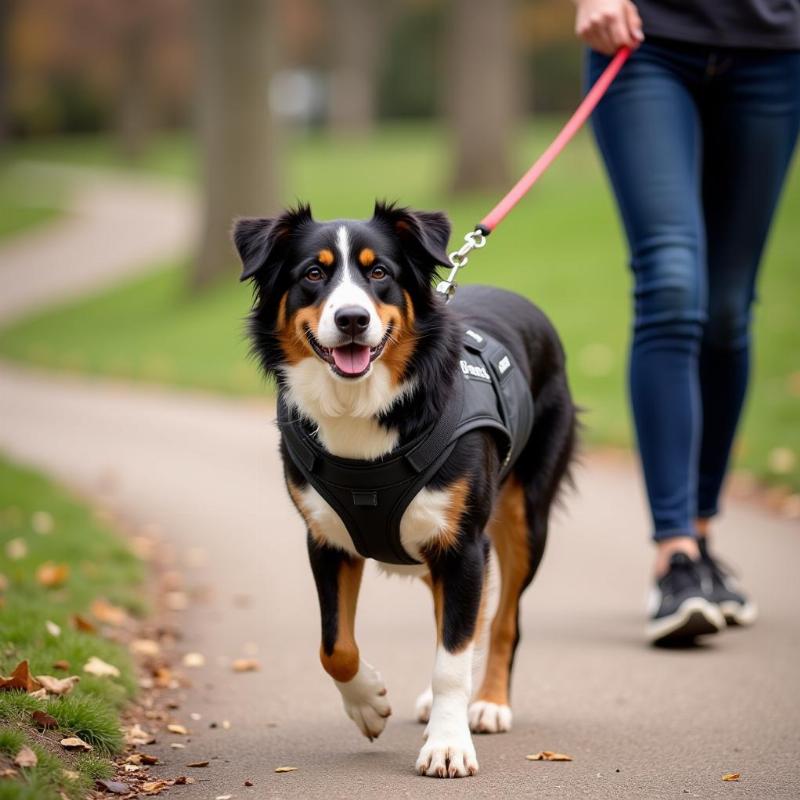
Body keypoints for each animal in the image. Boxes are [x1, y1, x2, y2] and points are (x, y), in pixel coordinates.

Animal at [231, 203, 576, 780]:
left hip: (526, 518)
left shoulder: (463, 545)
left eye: (379, 273)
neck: (362, 410)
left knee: (503, 621)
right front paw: (369, 703)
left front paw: (449, 744)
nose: (352, 319)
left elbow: (452, 660)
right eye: (313, 274)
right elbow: (334, 646)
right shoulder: (326, 541)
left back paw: (489, 703)